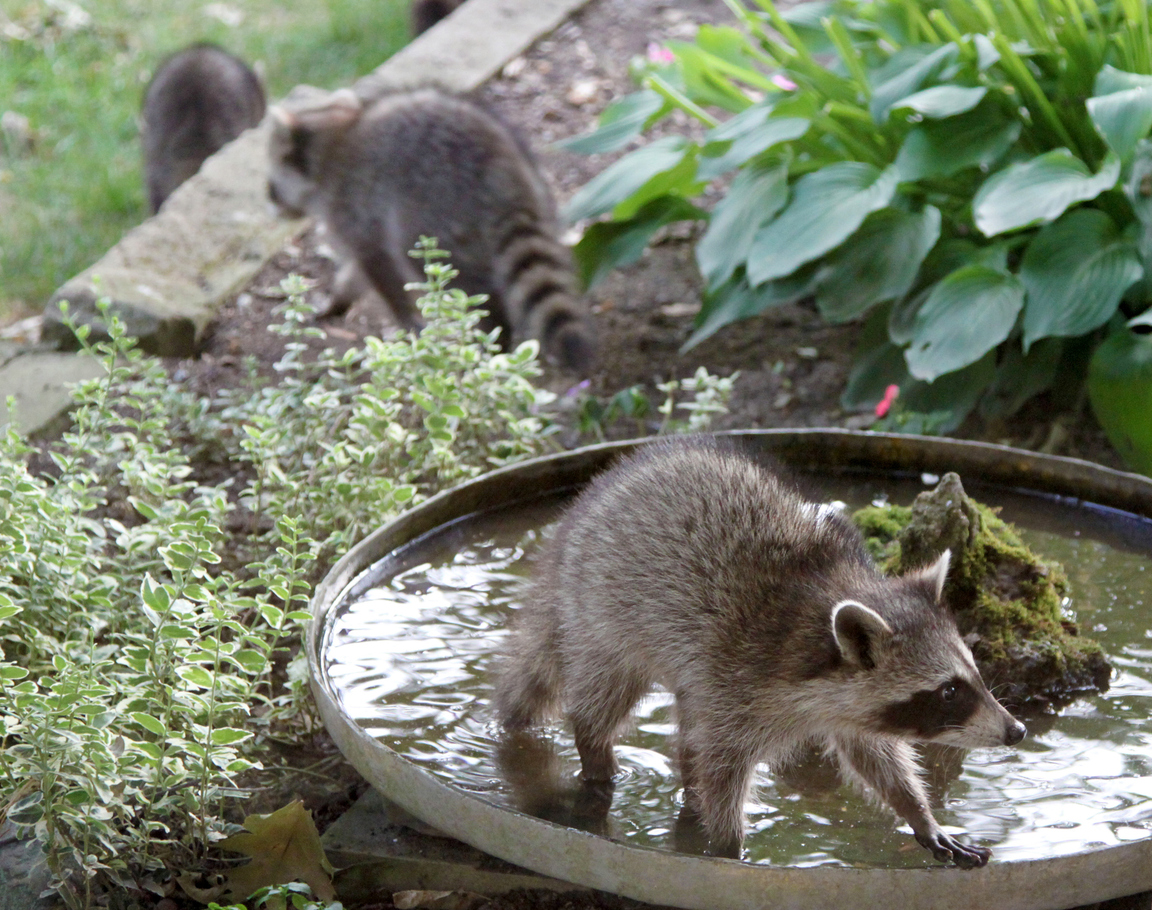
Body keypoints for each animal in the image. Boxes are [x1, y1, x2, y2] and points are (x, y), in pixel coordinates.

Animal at [266, 85, 594, 370]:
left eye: (270, 187)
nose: (270, 203)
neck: (330, 140)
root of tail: (501, 172)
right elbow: (358, 271)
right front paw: (338, 298)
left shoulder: (351, 206)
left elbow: (378, 268)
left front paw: (406, 321)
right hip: (539, 194)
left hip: (431, 205)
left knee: (431, 263)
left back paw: (493, 334)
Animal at [495, 440, 1027, 870]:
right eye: (949, 691)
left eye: (974, 674)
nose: (1016, 730)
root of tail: (579, 516)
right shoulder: (737, 675)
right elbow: (723, 765)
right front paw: (729, 847)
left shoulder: (845, 701)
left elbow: (874, 755)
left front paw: (919, 813)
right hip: (604, 615)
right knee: (607, 695)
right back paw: (597, 756)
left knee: (689, 728)